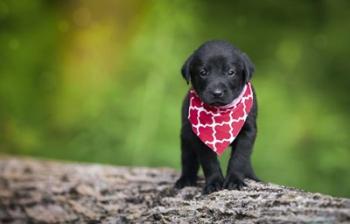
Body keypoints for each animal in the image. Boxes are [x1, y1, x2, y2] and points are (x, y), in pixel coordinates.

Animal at [175, 40, 260, 194]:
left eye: (231, 72)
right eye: (203, 72)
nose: (217, 92)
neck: (221, 111)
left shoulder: (248, 132)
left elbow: (240, 158)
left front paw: (235, 180)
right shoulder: (202, 137)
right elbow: (209, 162)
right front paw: (214, 183)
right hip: (185, 136)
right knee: (188, 159)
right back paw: (185, 179)